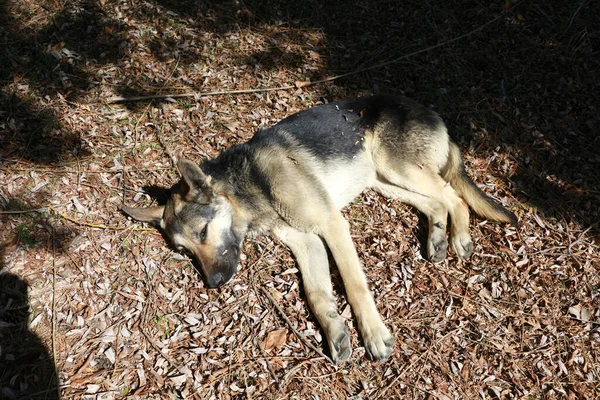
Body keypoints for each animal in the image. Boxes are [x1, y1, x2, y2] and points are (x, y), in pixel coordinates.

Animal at [120, 95, 516, 364]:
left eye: (202, 233)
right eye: (183, 250)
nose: (214, 283)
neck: (251, 187)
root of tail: (429, 111)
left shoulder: (331, 224)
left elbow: (354, 286)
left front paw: (373, 334)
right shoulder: (306, 241)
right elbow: (317, 294)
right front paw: (336, 332)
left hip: (397, 169)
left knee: (454, 198)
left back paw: (459, 237)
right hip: (382, 180)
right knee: (437, 204)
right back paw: (436, 236)